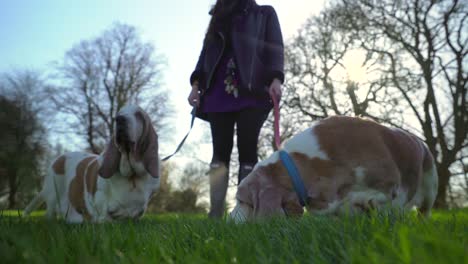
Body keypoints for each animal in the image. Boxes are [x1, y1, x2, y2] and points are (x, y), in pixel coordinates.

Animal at [24, 105, 161, 223]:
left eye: (138, 115)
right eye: (119, 114)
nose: (120, 119)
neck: (132, 177)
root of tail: (58, 159)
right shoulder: (100, 202)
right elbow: (104, 214)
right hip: (53, 192)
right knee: (50, 214)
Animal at [230, 116, 438, 222]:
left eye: (241, 201)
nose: (228, 221)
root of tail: (420, 142)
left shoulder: (388, 181)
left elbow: (374, 196)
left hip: (430, 186)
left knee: (424, 211)